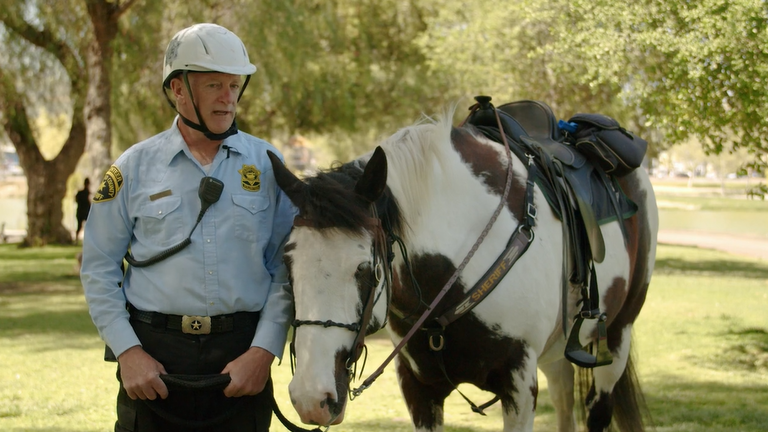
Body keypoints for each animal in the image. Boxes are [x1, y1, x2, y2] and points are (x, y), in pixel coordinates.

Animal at [268, 105, 656, 432]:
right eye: (287, 263)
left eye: (366, 268)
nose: (311, 396)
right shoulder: (419, 387)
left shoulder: (519, 383)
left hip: (617, 336)